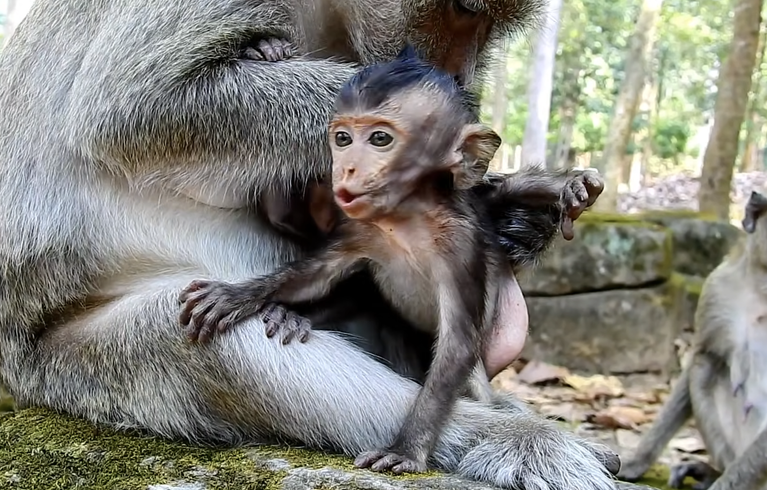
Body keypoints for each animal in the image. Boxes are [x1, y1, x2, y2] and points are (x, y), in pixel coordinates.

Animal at [0, 0, 622, 488]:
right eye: (465, 9)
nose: (460, 77)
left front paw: (521, 218)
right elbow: (133, 108)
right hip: (75, 371)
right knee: (213, 345)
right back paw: (509, 435)